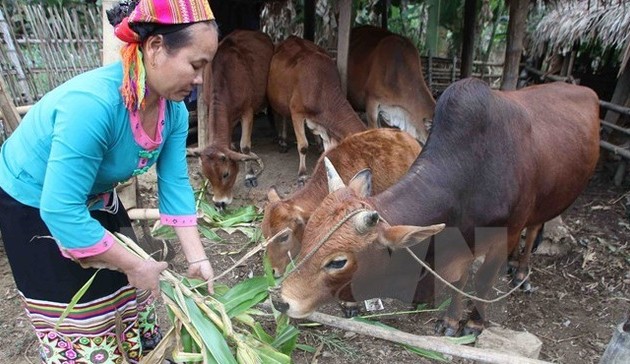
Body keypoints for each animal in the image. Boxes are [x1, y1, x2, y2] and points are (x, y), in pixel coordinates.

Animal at [200, 29, 274, 208]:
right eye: (207, 175)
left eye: (226, 174)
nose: (219, 203)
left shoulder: (247, 110)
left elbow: (245, 147)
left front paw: (250, 175)